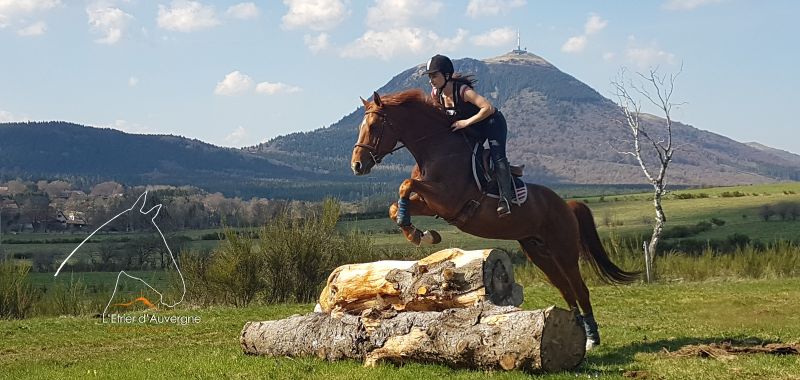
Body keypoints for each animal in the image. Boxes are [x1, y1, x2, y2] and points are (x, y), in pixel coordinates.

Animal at [350, 88, 636, 348]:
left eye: (373, 126)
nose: (356, 166)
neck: (436, 149)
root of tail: (566, 204)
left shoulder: (448, 199)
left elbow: (405, 185)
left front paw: (420, 234)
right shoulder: (433, 205)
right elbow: (396, 204)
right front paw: (421, 234)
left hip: (563, 249)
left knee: (580, 289)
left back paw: (592, 338)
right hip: (538, 252)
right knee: (566, 289)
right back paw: (572, 333)